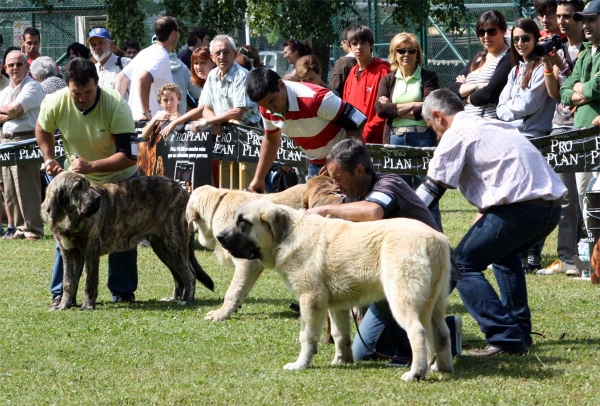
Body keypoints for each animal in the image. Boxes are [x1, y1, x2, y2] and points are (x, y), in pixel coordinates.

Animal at [40, 170, 213, 310]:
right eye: (78, 187)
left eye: (87, 185)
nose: (98, 199)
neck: (68, 215)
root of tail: (183, 190)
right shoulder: (69, 253)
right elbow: (68, 282)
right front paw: (64, 305)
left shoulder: (91, 251)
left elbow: (89, 281)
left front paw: (87, 306)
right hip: (162, 247)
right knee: (178, 274)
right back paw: (175, 297)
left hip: (174, 242)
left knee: (189, 273)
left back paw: (187, 300)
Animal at [218, 200, 452, 380]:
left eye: (243, 222)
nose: (220, 236)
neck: (287, 236)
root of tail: (434, 239)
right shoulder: (337, 306)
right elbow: (341, 335)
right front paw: (341, 361)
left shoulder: (311, 299)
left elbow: (306, 336)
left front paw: (300, 364)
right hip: (434, 303)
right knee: (441, 334)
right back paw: (440, 368)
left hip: (401, 298)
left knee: (417, 331)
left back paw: (415, 373)